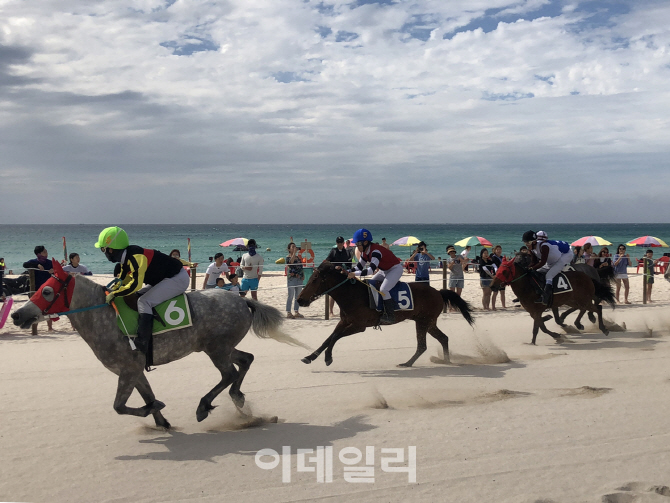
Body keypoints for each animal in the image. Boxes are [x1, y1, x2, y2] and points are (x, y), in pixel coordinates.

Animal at [12, 260, 304, 430]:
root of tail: (242, 299)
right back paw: (239, 399)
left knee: (228, 374)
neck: (104, 317)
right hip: (219, 346)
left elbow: (120, 407)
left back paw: (204, 406)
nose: (17, 315)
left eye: (47, 290)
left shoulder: (127, 371)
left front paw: (156, 409)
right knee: (245, 360)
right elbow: (147, 396)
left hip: (217, 349)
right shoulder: (134, 371)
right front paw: (160, 419)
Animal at [296, 264, 476, 366]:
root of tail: (438, 292)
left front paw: (328, 358)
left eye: (314, 279)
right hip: (427, 322)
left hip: (424, 321)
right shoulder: (345, 322)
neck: (353, 294)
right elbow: (329, 338)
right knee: (442, 338)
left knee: (423, 345)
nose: (299, 300)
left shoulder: (359, 326)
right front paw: (310, 357)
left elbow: (334, 337)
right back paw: (444, 361)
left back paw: (409, 363)